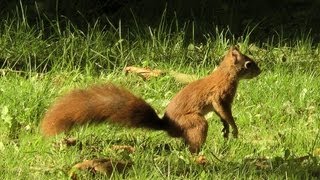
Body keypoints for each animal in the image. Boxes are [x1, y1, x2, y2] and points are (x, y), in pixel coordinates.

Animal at [40, 45, 260, 153]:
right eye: (248, 64)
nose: (260, 71)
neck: (226, 74)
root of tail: (169, 127)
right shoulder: (220, 95)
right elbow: (224, 111)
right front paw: (234, 129)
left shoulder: (219, 101)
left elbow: (221, 115)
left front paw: (226, 128)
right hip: (194, 122)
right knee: (194, 138)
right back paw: (200, 152)